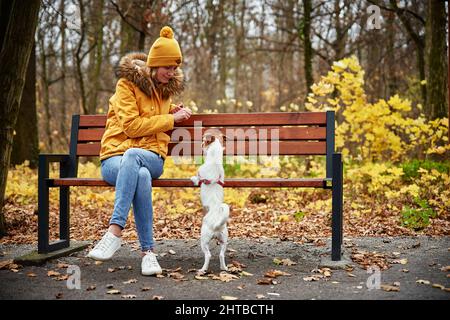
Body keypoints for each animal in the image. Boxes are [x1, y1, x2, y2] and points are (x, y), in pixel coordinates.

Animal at [192, 132, 230, 276]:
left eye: (203, 142)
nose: (200, 145)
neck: (214, 161)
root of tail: (216, 225)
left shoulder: (199, 174)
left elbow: (197, 178)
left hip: (203, 239)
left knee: (208, 255)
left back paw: (203, 270)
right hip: (224, 239)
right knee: (221, 254)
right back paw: (224, 268)